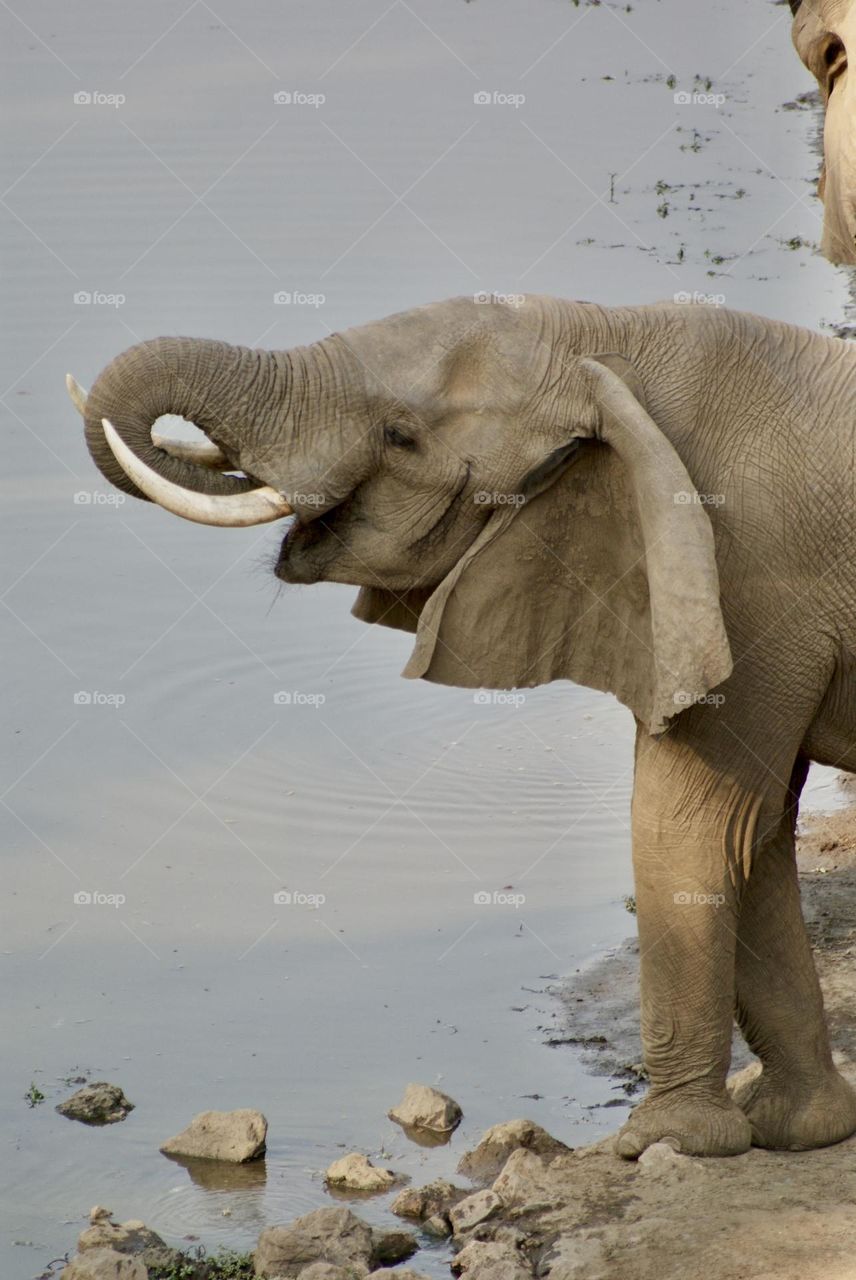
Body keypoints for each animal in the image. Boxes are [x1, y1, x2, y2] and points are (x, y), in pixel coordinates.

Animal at [68, 296, 856, 1162]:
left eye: (400, 435)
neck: (604, 338)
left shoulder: (745, 582)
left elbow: (696, 828)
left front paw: (670, 1141)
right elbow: (759, 835)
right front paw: (800, 1129)